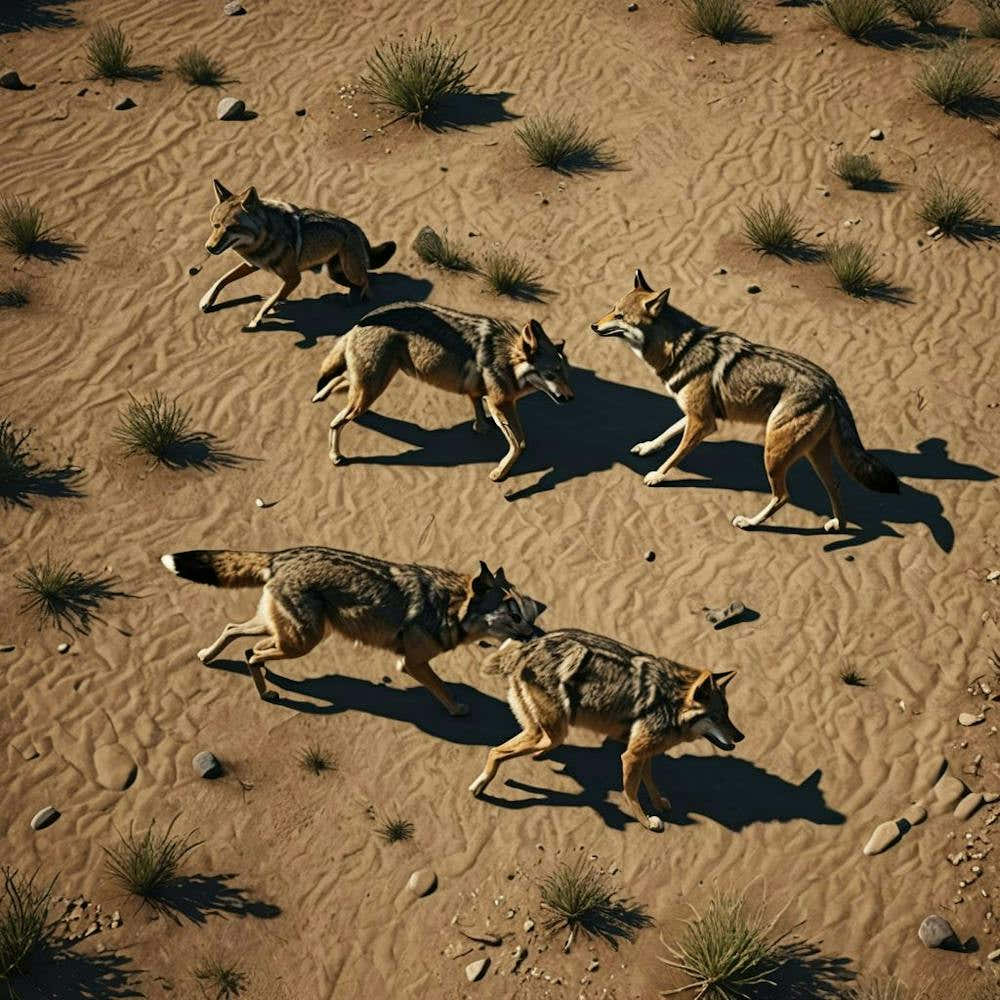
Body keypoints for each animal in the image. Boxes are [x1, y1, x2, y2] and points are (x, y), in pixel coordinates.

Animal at [159, 546, 545, 715]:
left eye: (529, 614)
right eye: (513, 615)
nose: (537, 636)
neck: (448, 606)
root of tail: (280, 555)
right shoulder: (412, 663)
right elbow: (442, 689)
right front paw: (457, 710)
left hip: (286, 633)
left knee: (235, 633)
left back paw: (210, 658)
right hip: (302, 641)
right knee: (252, 653)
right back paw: (266, 692)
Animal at [198, 180, 396, 330]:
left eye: (231, 228)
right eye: (215, 225)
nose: (209, 248)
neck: (264, 237)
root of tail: (357, 229)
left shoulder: (294, 278)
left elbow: (271, 299)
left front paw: (257, 318)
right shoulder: (252, 265)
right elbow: (223, 279)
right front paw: (207, 300)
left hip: (349, 271)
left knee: (366, 279)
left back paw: (363, 297)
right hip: (335, 274)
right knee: (366, 277)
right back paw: (349, 296)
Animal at [311, 302, 574, 481]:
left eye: (565, 372)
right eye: (552, 373)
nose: (571, 398)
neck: (507, 358)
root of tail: (361, 320)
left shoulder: (484, 395)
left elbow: (481, 410)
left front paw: (481, 428)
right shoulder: (500, 403)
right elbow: (518, 444)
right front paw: (500, 473)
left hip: (367, 386)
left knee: (339, 382)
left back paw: (320, 395)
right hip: (370, 391)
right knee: (336, 421)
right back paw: (335, 456)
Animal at [470, 629, 743, 832]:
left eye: (728, 714)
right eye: (717, 717)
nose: (741, 736)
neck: (671, 701)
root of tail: (525, 649)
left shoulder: (644, 754)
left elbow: (650, 783)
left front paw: (659, 804)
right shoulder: (631, 755)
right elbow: (631, 793)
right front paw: (646, 822)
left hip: (546, 733)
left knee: (510, 748)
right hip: (553, 733)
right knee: (497, 751)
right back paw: (480, 786)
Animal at [590, 270, 900, 531]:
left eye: (620, 316)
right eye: (612, 309)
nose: (593, 325)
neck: (680, 348)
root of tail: (831, 386)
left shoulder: (703, 423)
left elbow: (675, 455)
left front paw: (656, 475)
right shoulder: (696, 416)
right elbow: (667, 432)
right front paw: (647, 447)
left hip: (774, 453)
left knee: (783, 495)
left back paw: (750, 522)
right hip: (813, 455)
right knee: (835, 487)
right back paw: (837, 525)